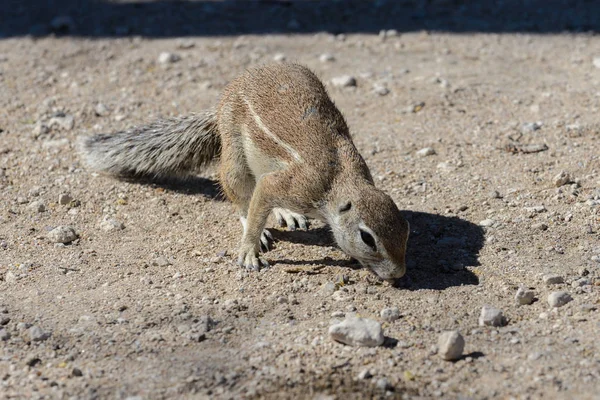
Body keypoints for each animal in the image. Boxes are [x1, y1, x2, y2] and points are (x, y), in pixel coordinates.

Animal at [82, 63, 410, 282]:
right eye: (368, 238)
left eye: (406, 231)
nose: (399, 274)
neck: (341, 180)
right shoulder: (294, 185)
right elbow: (258, 202)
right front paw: (249, 251)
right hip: (235, 159)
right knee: (240, 197)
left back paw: (287, 214)